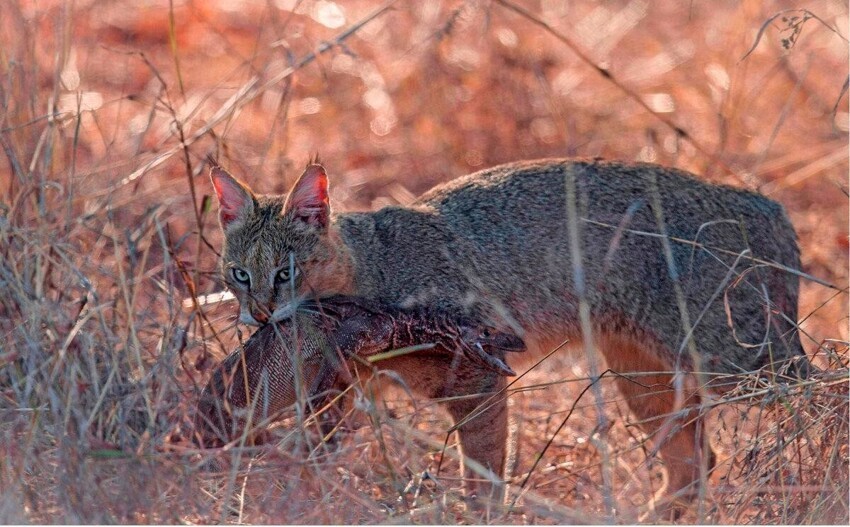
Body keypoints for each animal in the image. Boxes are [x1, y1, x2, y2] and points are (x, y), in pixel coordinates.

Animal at [209, 157, 804, 516]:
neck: (370, 270)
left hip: (742, 363)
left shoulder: (479, 378)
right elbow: (311, 460)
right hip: (647, 376)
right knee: (696, 462)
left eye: (285, 272)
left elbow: (484, 476)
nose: (260, 314)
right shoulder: (340, 393)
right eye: (239, 274)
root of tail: (767, 203)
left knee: (808, 403)